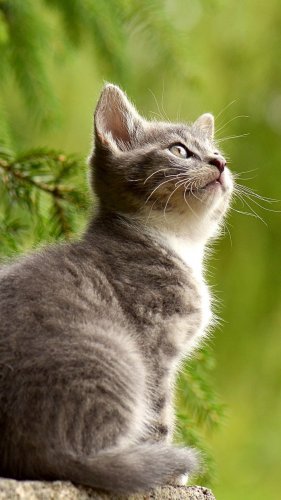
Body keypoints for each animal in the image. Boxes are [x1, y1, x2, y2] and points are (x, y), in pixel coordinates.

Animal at [0, 85, 232, 492]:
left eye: (217, 152)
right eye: (179, 150)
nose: (219, 163)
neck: (176, 242)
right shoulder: (154, 343)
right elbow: (159, 414)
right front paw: (170, 475)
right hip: (118, 355)